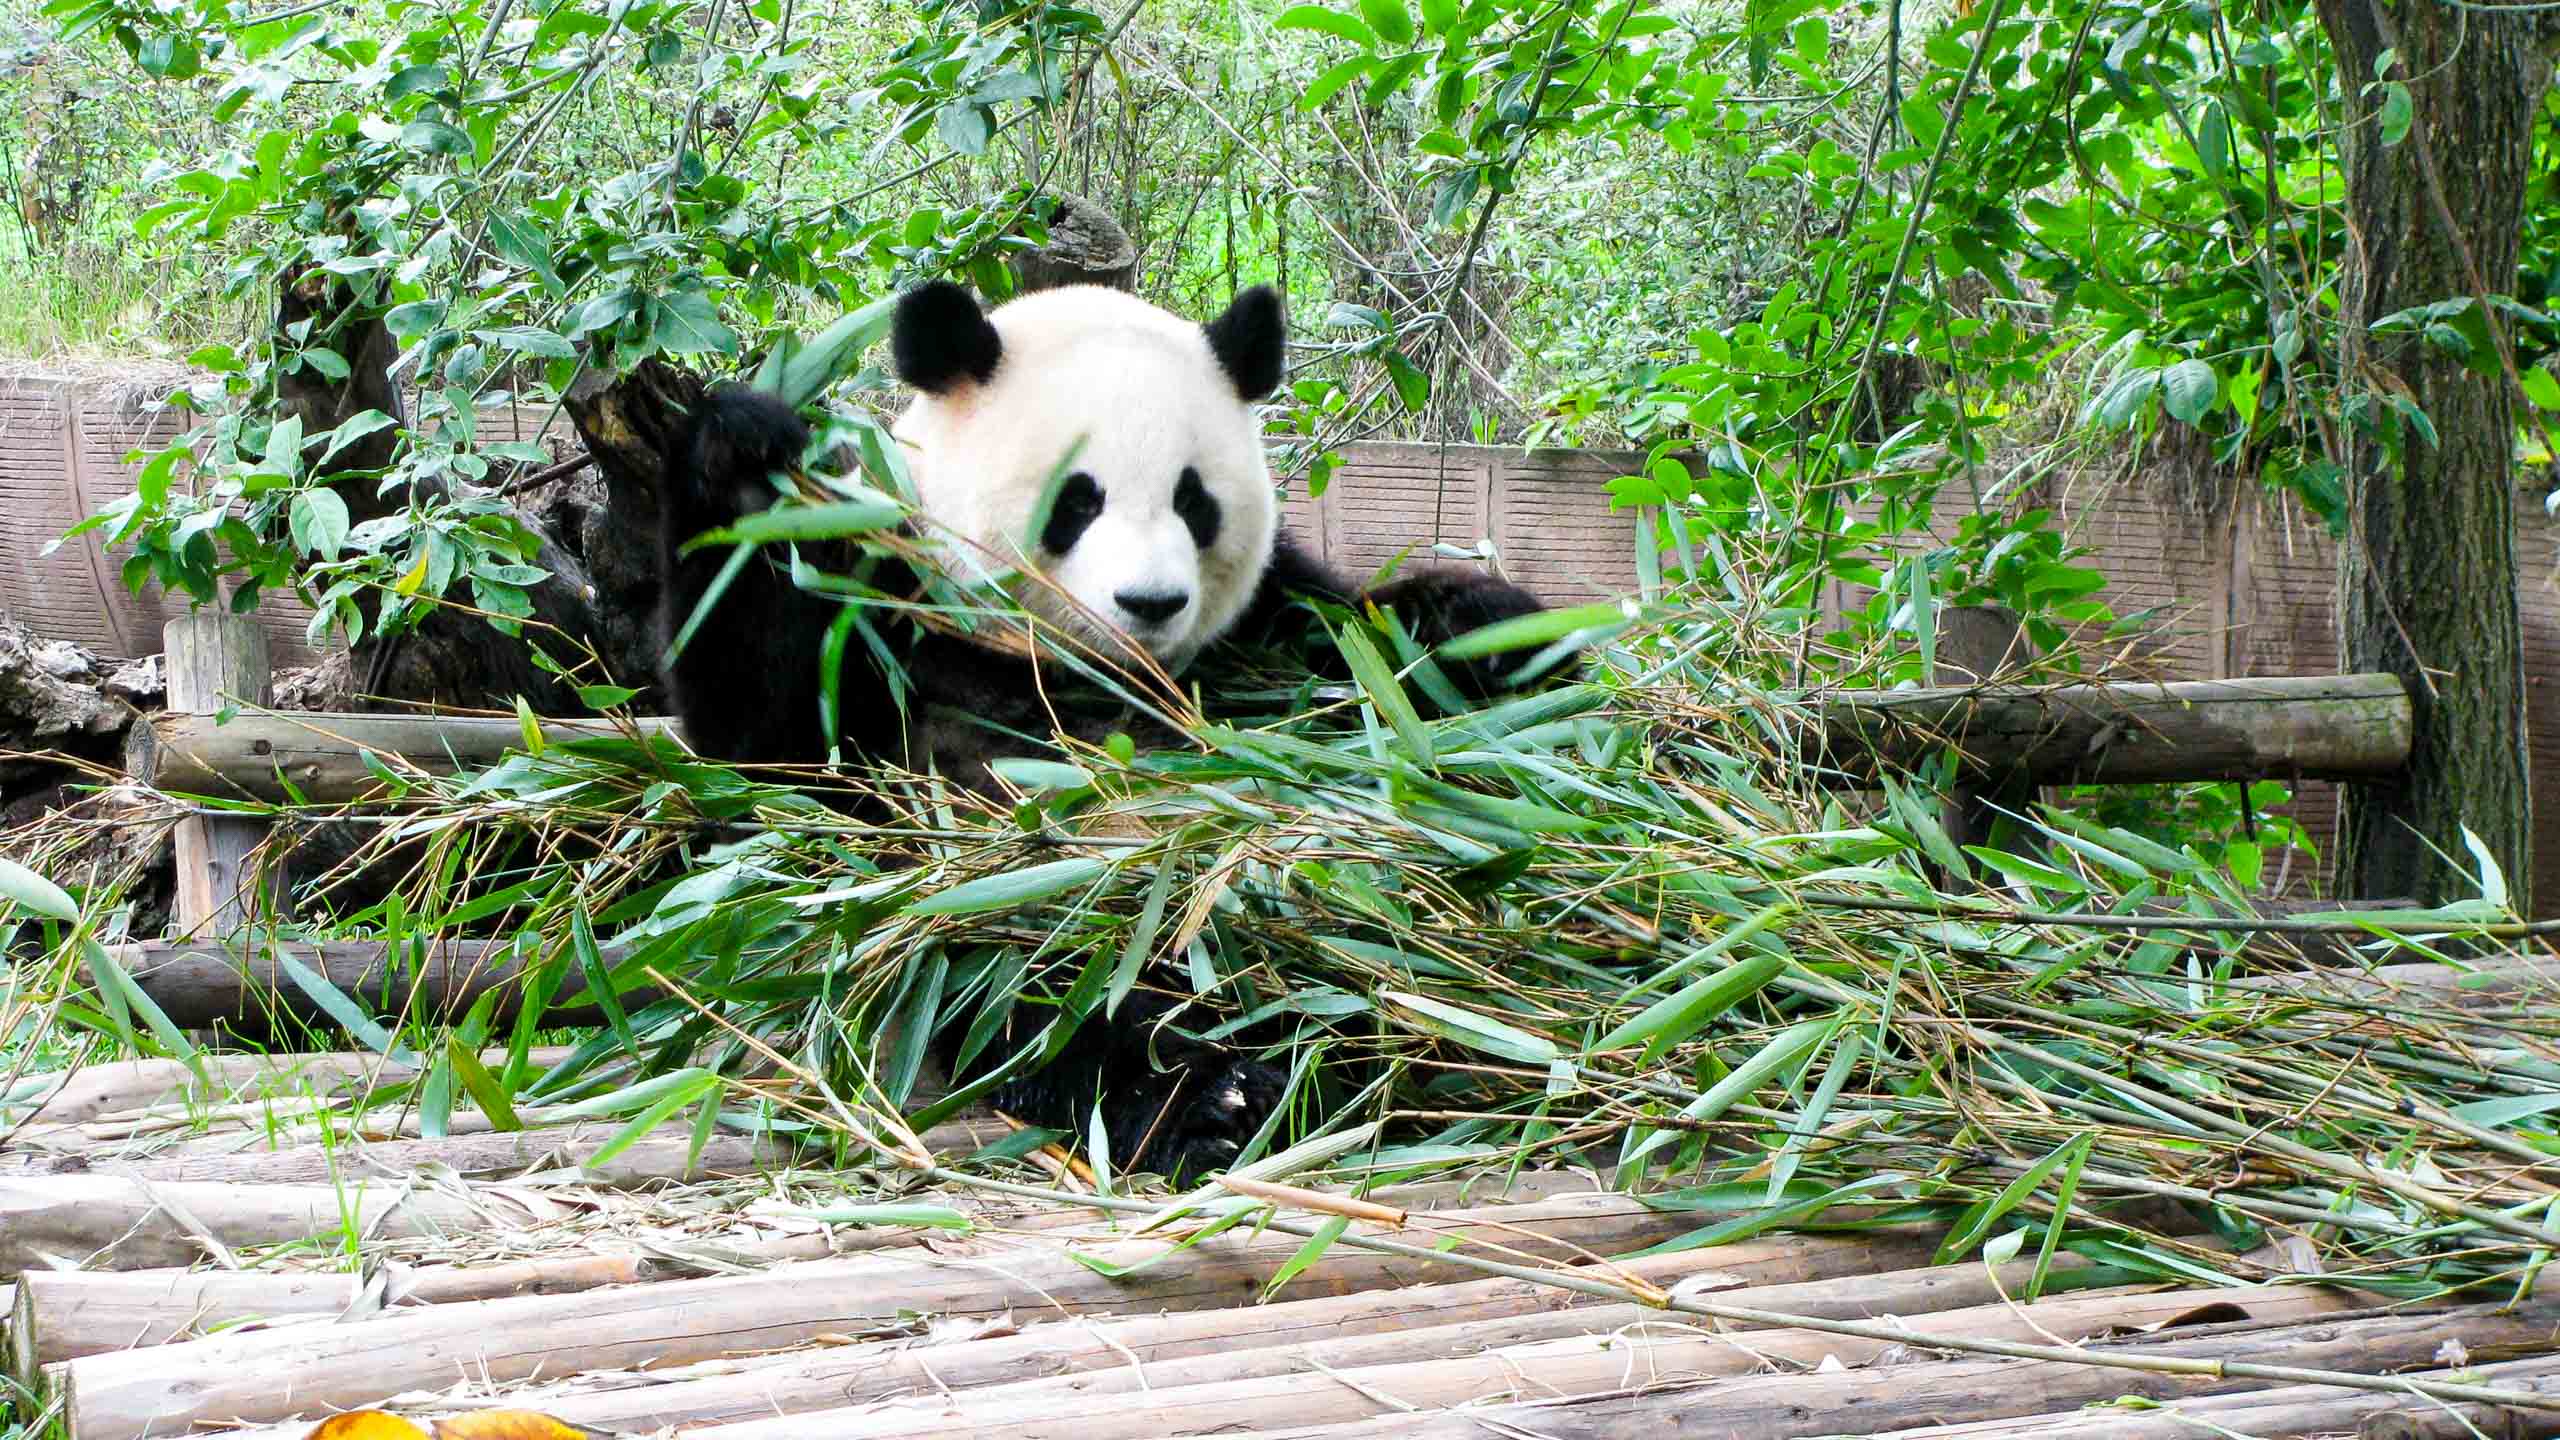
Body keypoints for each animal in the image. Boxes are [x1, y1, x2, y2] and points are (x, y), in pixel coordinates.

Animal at [650, 280, 1566, 1178]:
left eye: (1193, 501)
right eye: (1077, 499)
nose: (1151, 603)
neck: (1095, 676)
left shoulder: (1269, 638)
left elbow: (1377, 647)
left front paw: (1501, 643)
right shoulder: (895, 643)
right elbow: (786, 770)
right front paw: (746, 460)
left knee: (1397, 973)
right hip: (1029, 927)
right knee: (1052, 995)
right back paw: (1218, 1100)